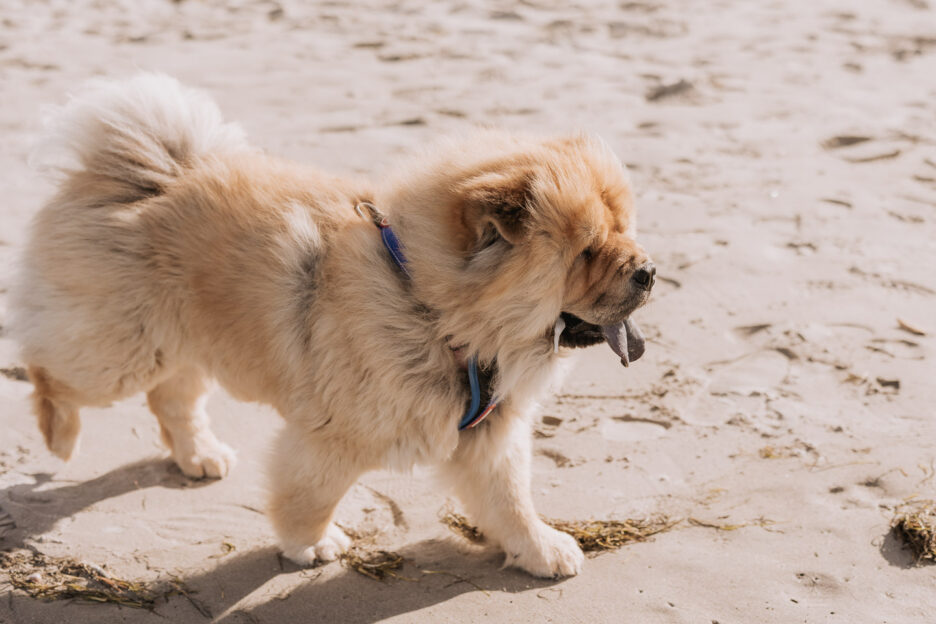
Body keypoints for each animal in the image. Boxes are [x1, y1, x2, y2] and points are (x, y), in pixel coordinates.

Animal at [11, 75, 656, 576]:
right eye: (587, 252)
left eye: (626, 229)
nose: (649, 271)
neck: (435, 312)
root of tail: (149, 174)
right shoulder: (333, 437)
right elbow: (310, 496)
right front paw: (312, 546)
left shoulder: (491, 432)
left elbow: (512, 501)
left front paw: (541, 551)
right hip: (122, 353)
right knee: (51, 372)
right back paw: (59, 434)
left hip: (186, 346)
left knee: (173, 399)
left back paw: (202, 457)